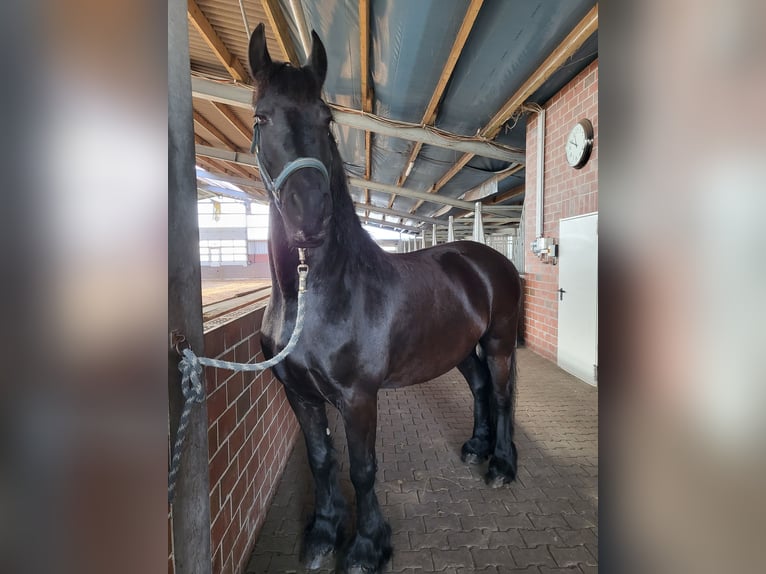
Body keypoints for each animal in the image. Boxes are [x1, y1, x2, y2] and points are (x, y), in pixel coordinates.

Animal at [247, 23, 522, 573]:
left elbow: (363, 468)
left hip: (500, 342)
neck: (312, 297)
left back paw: (501, 465)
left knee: (502, 395)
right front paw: (323, 533)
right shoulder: (299, 394)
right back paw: (476, 448)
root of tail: (489, 259)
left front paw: (367, 547)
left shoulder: (358, 397)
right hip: (460, 349)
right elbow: (321, 459)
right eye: (261, 116)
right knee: (481, 388)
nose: (310, 219)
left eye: (326, 118)